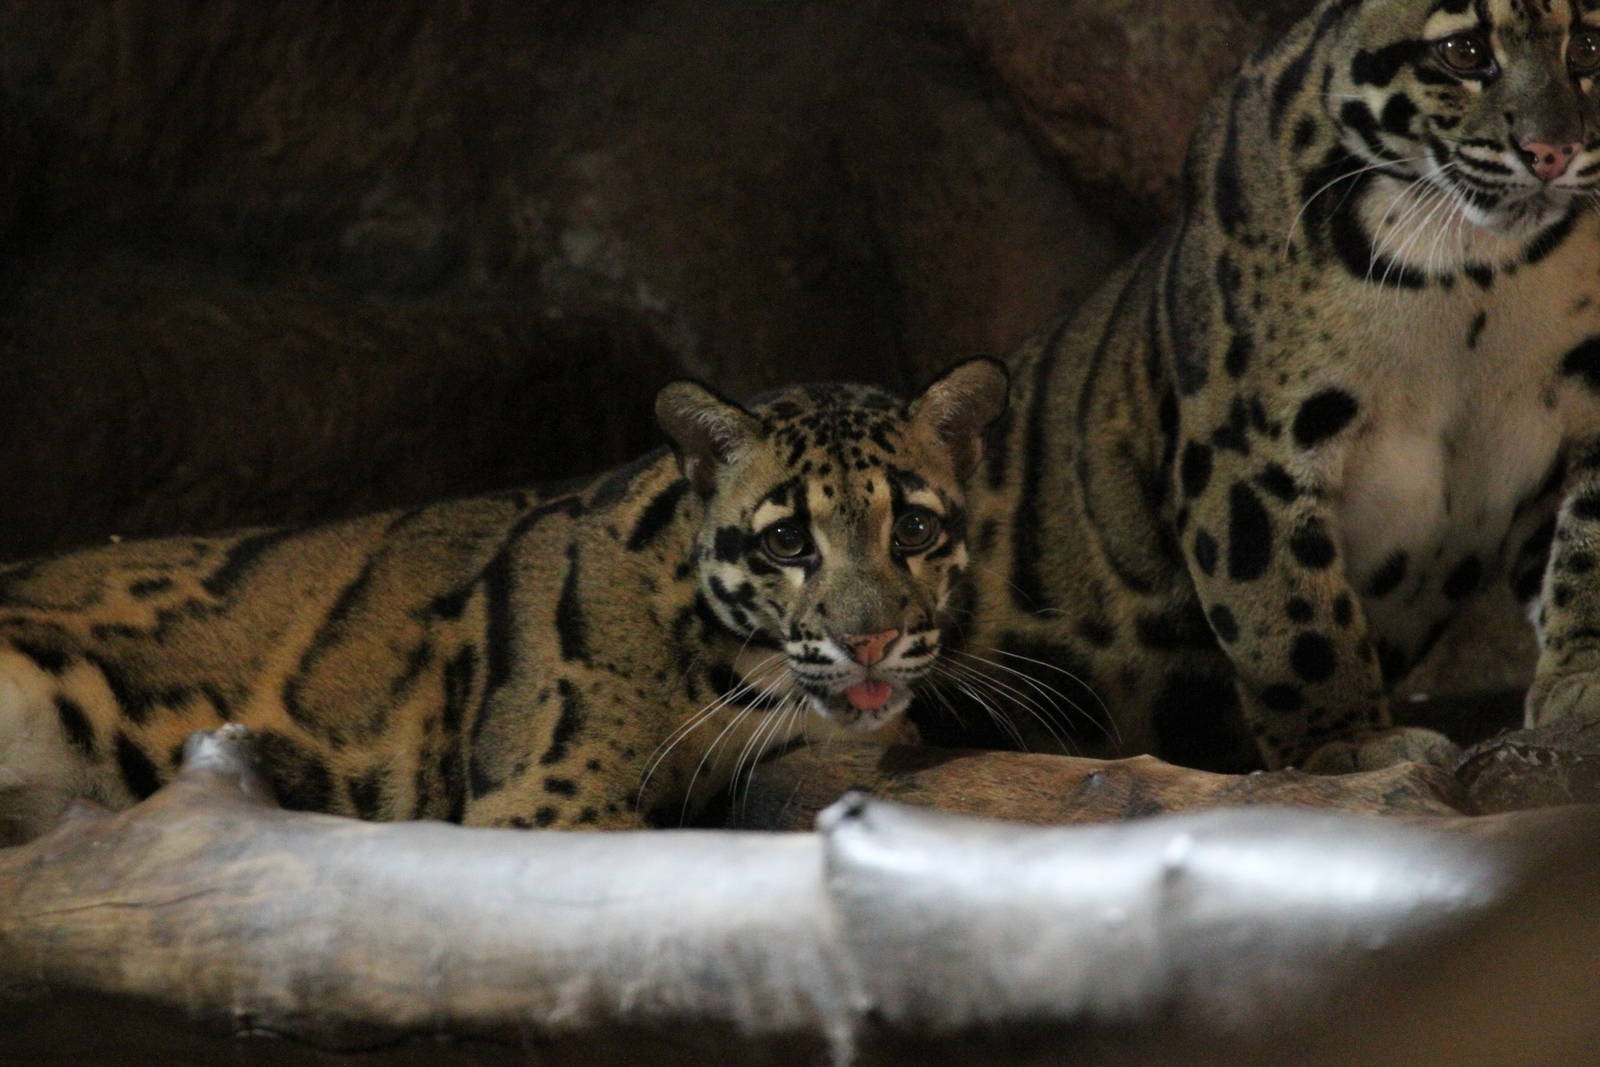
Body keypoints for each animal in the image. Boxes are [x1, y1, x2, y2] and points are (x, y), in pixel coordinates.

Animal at [943, 0, 1600, 773]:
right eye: (1465, 51)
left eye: (1590, 48)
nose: (1552, 151)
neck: (1474, 274)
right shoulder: (1246, 445)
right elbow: (1291, 615)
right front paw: (1346, 744)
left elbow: (1586, 548)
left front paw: (1583, 682)